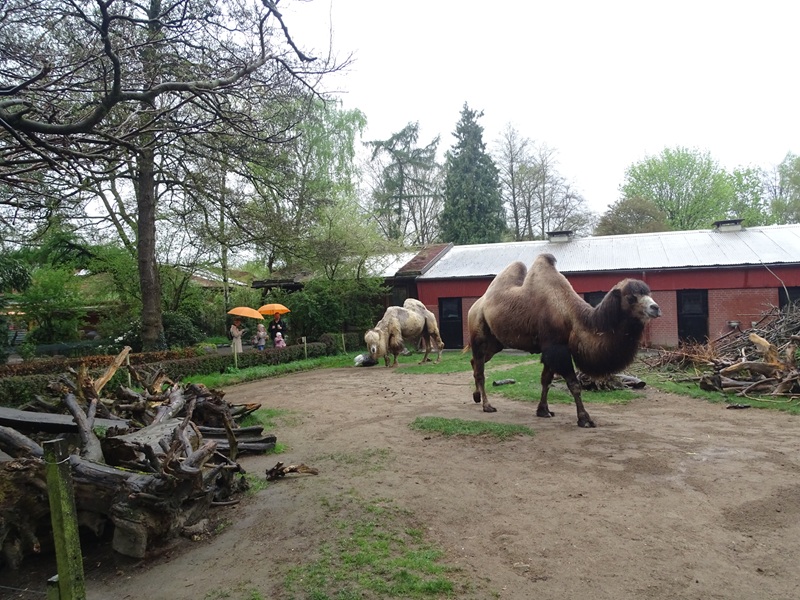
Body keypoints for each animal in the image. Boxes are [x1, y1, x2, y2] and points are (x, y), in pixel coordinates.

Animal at [468, 253, 661, 427]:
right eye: (631, 297)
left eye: (648, 292)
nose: (655, 308)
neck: (572, 316)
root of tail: (475, 306)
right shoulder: (557, 348)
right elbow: (574, 384)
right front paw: (585, 419)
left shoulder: (551, 349)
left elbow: (546, 379)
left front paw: (543, 410)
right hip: (479, 333)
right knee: (480, 369)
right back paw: (487, 405)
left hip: (496, 343)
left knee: (475, 362)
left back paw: (476, 396)